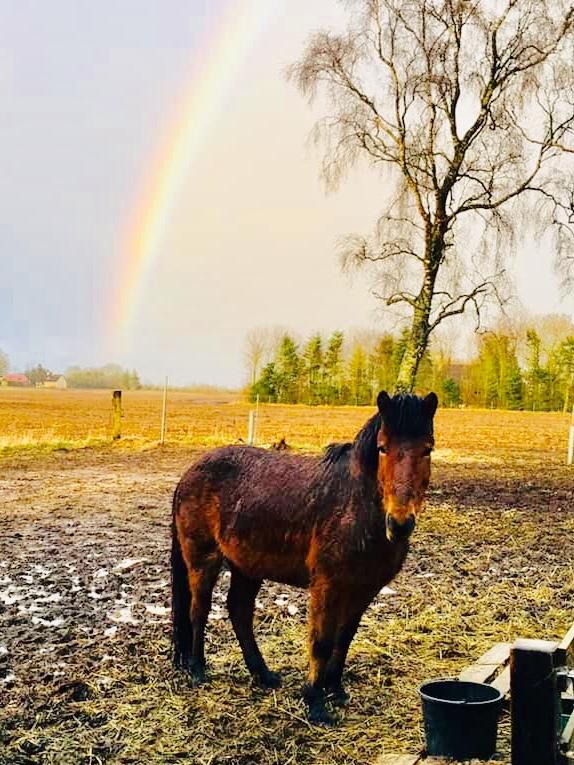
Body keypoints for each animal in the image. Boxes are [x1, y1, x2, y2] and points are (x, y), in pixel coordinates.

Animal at [173, 390, 438, 720]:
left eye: (427, 450)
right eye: (382, 448)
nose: (400, 523)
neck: (355, 507)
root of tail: (189, 473)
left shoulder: (365, 589)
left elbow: (344, 638)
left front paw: (335, 690)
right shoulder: (327, 585)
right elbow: (322, 641)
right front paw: (314, 701)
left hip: (247, 567)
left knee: (240, 612)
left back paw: (263, 674)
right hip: (203, 559)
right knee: (199, 610)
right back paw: (197, 669)